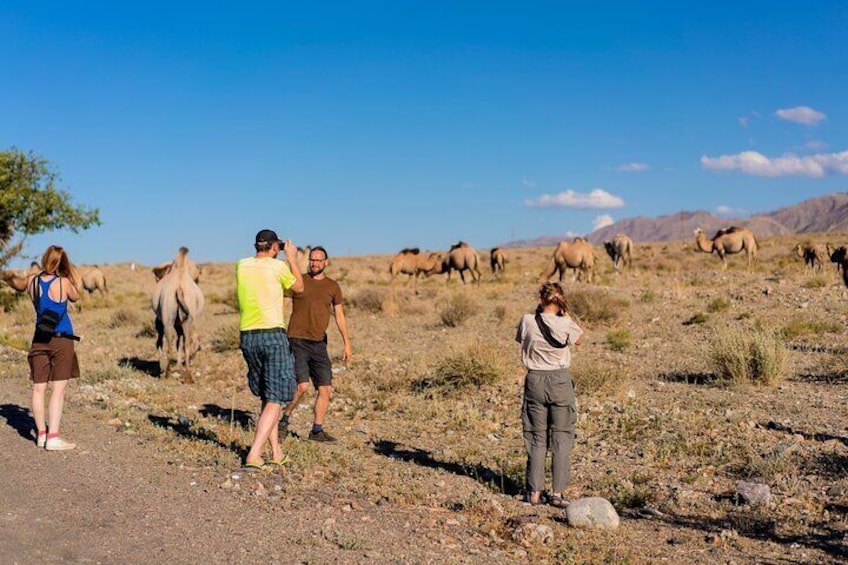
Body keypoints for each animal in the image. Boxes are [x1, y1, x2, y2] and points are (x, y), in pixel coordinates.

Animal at [151, 246, 204, 382]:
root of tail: (179, 289)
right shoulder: (180, 322)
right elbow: (180, 341)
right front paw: (179, 367)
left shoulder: (162, 321)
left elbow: (161, 341)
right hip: (187, 319)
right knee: (186, 342)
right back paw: (188, 376)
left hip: (167, 318)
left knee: (169, 340)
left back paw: (167, 372)